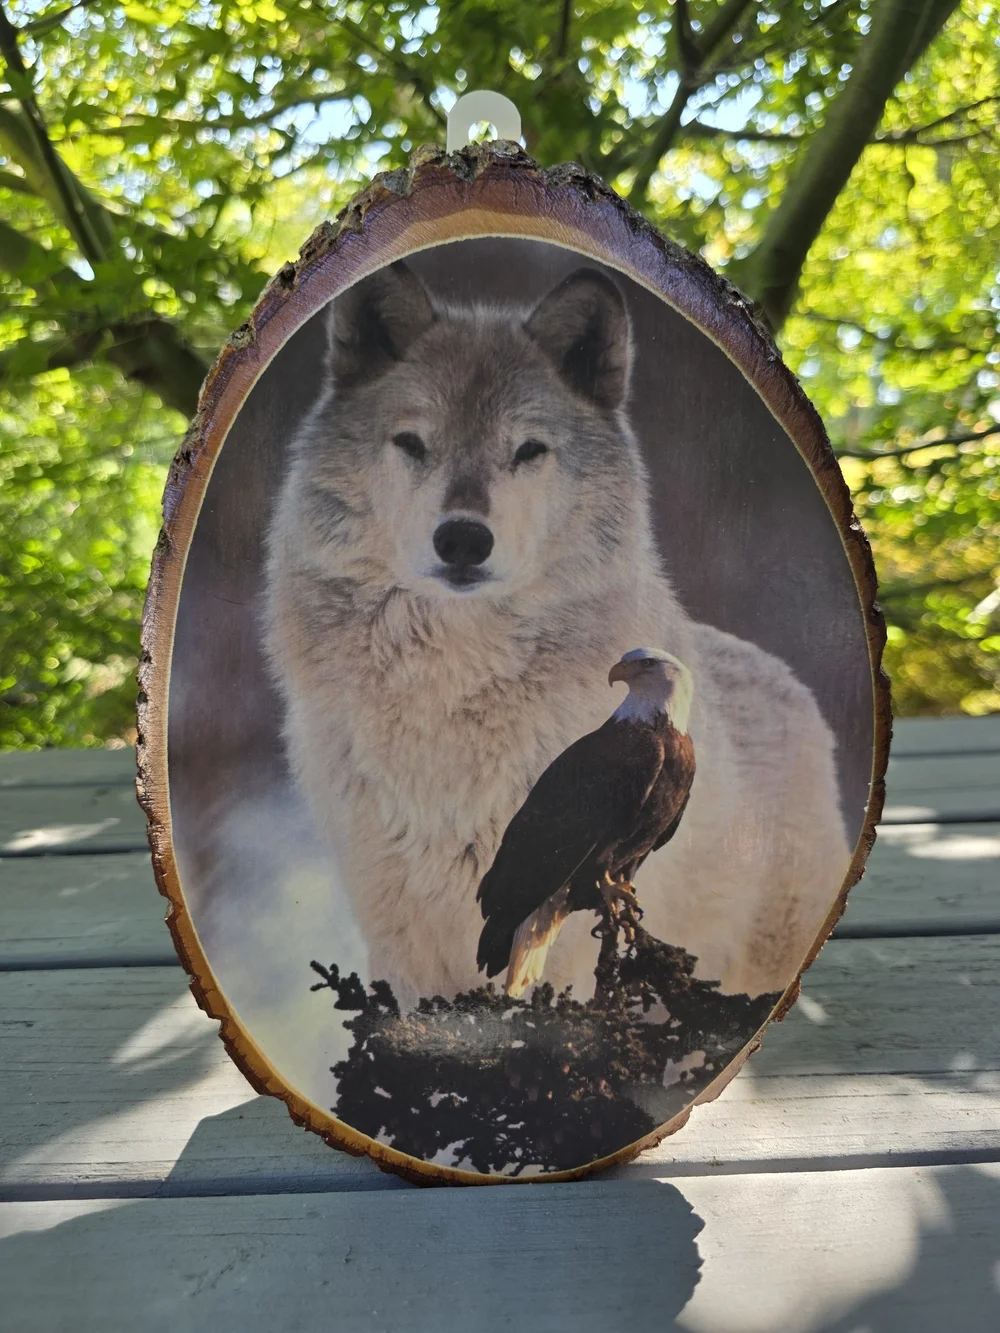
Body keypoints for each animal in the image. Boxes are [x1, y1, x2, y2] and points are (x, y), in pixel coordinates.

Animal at [263, 260, 852, 1010]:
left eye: (529, 450)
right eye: (412, 444)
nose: (463, 539)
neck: (450, 701)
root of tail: (790, 681)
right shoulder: (401, 926)